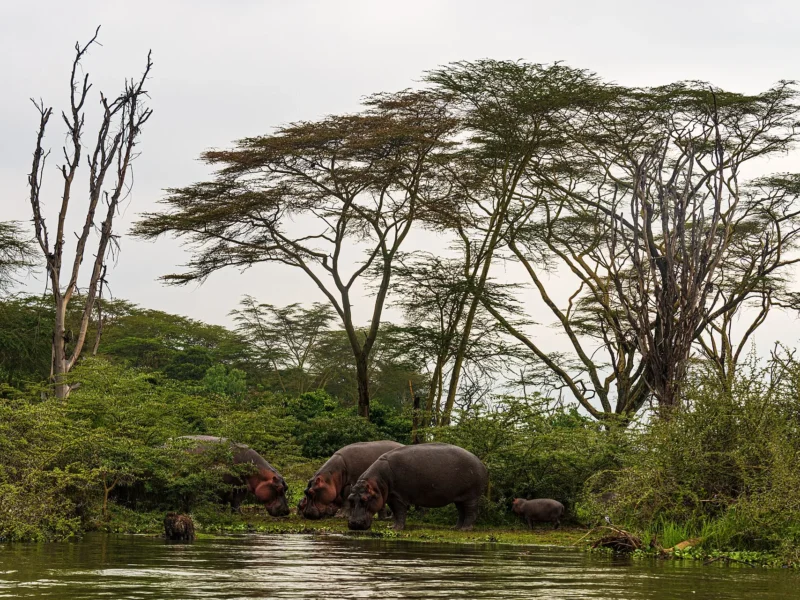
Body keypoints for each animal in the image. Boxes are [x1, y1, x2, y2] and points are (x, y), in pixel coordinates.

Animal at [347, 443, 488, 531]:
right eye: (350, 499)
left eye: (365, 499)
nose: (354, 524)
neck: (377, 482)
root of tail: (480, 463)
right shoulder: (391, 497)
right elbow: (395, 513)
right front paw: (392, 527)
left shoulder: (399, 497)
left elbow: (400, 512)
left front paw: (397, 529)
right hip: (459, 498)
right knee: (461, 512)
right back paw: (455, 528)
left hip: (471, 496)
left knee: (470, 512)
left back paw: (465, 529)